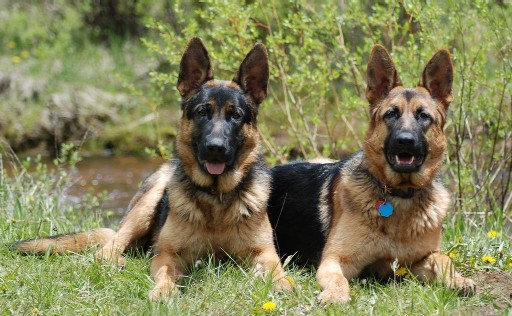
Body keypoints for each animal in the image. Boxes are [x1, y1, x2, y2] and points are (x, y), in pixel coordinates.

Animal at [12, 38, 292, 300]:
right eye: (202, 112)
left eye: (236, 116)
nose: (215, 148)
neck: (215, 198)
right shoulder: (168, 254)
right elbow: (166, 272)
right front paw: (164, 290)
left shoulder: (264, 252)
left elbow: (276, 269)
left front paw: (282, 284)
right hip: (147, 204)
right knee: (108, 247)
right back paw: (117, 260)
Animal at [268, 45, 476, 304]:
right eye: (391, 114)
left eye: (423, 116)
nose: (405, 141)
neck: (400, 196)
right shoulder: (334, 260)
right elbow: (339, 280)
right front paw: (335, 295)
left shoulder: (416, 261)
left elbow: (444, 258)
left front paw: (459, 279)